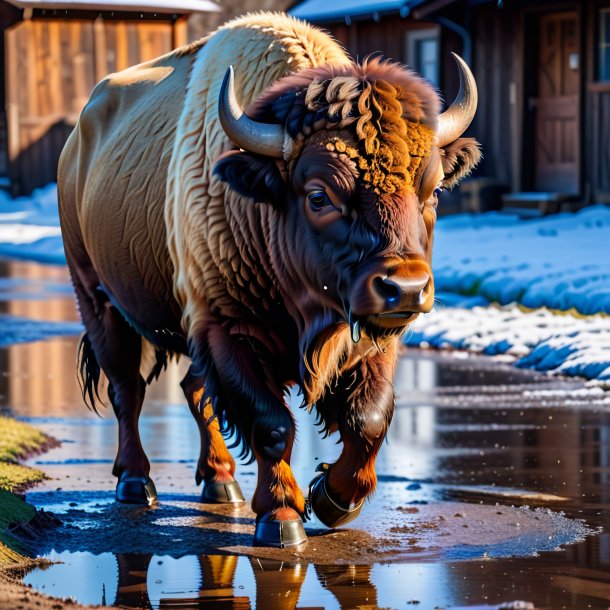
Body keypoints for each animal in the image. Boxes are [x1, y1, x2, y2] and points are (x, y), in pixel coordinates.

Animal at [57, 11, 478, 548]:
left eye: (433, 191)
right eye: (319, 196)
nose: (404, 288)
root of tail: (77, 141)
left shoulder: (367, 335)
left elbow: (368, 417)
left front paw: (333, 499)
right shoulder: (227, 329)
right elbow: (271, 425)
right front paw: (281, 520)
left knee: (195, 393)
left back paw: (221, 482)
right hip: (97, 298)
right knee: (127, 389)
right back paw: (136, 482)